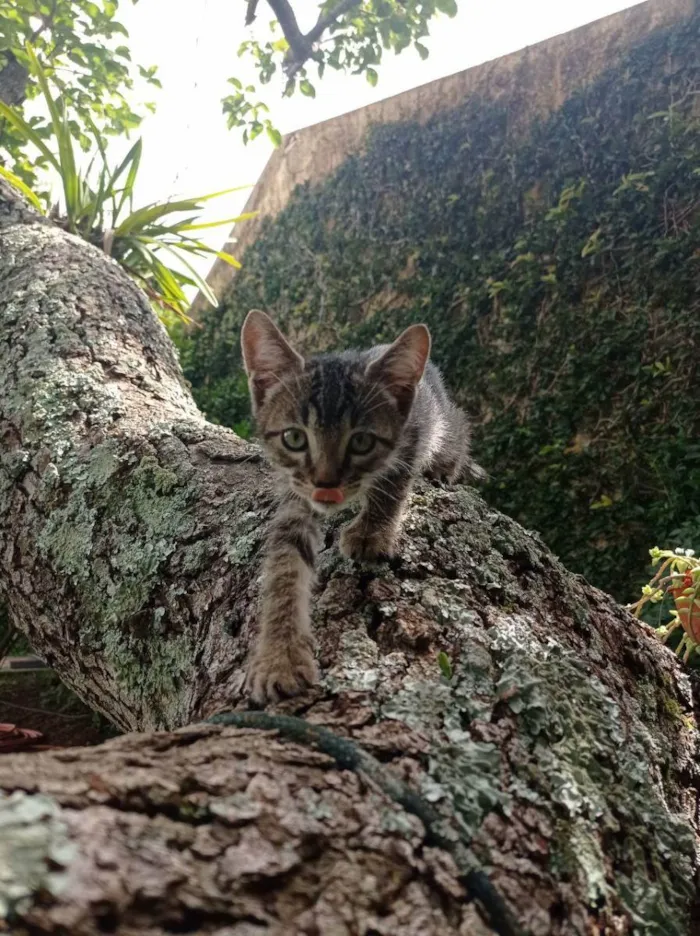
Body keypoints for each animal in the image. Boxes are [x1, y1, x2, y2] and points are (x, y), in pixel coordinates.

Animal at [241, 310, 482, 704]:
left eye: (362, 442)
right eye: (294, 438)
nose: (326, 485)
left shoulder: (411, 435)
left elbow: (391, 485)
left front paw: (371, 532)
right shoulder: (295, 495)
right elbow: (285, 565)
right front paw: (279, 656)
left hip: (441, 421)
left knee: (457, 429)